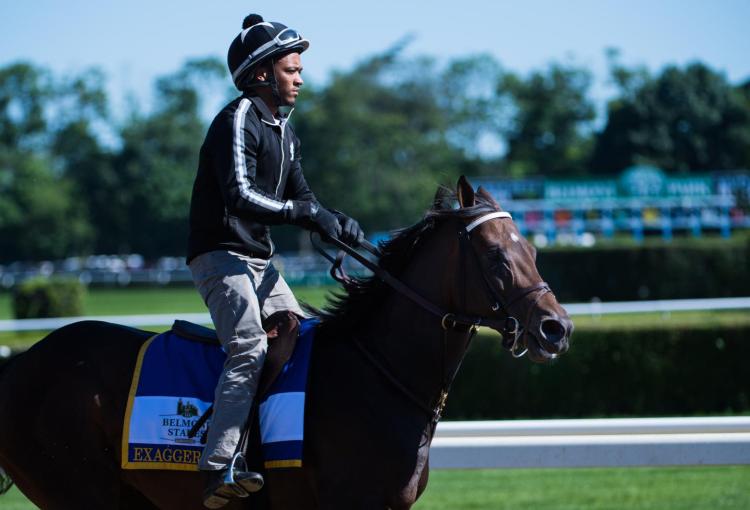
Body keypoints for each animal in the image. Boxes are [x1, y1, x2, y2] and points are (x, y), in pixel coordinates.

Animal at [1, 176, 576, 510]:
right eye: (498, 258)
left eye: (533, 252)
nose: (557, 328)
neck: (377, 372)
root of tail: (22, 365)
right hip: (79, 490)